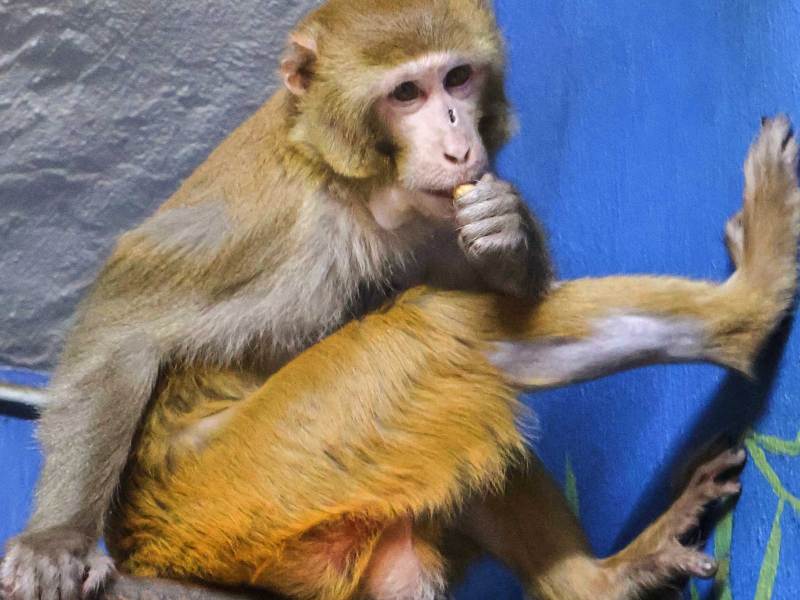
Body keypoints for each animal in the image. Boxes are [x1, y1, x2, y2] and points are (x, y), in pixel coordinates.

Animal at [3, 2, 552, 599]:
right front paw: (58, 539)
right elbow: (120, 333)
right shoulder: (274, 231)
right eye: (406, 93)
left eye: (457, 78)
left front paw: (506, 231)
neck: (352, 186)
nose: (459, 144)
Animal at [100, 116, 800, 600]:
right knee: (445, 330)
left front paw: (503, 232)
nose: (458, 146)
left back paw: (599, 583)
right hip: (247, 485)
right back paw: (751, 307)